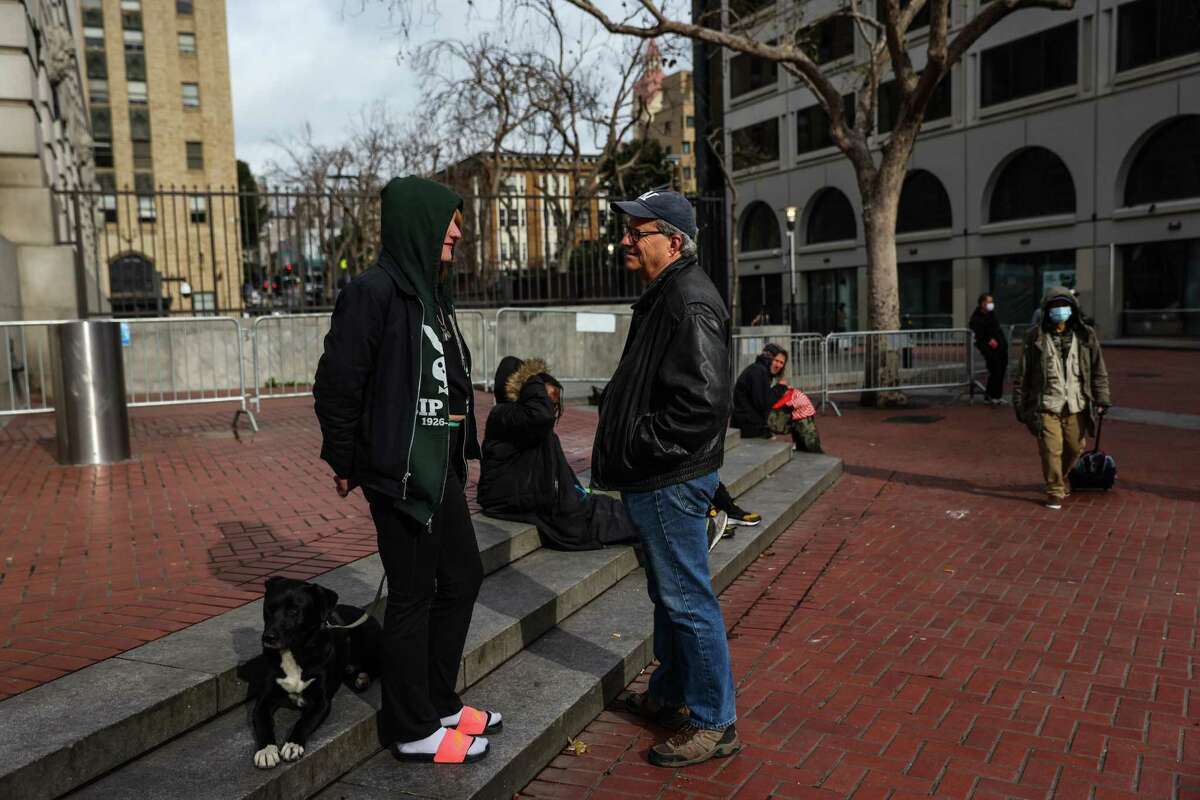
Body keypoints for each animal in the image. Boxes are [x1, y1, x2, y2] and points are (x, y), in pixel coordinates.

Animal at [252, 575, 379, 767]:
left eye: (293, 611)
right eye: (269, 609)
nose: (268, 637)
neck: (293, 652)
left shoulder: (321, 701)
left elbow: (303, 722)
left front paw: (293, 744)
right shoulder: (264, 700)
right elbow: (263, 723)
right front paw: (266, 750)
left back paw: (363, 678)